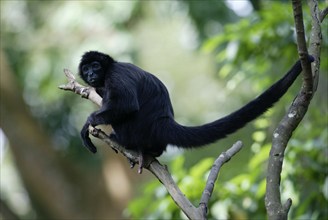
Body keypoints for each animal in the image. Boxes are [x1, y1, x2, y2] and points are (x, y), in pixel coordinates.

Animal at [78, 50, 314, 173]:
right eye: (86, 69)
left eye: (96, 66)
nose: (90, 74)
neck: (108, 69)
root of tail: (163, 121)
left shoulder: (116, 73)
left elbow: (127, 104)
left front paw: (88, 123)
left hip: (134, 129)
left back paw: (123, 141)